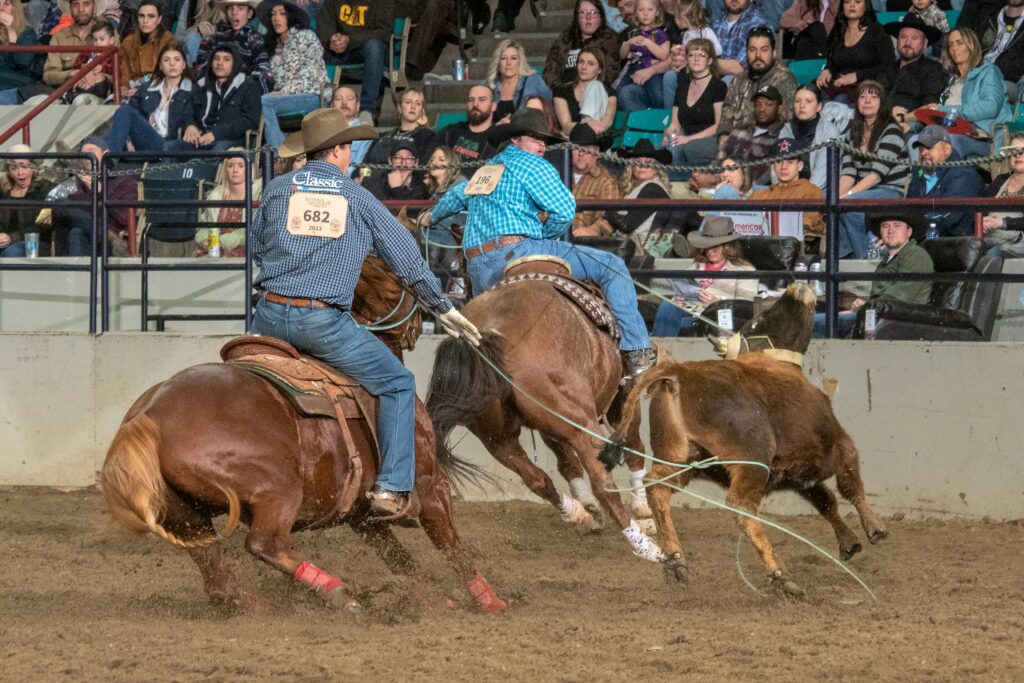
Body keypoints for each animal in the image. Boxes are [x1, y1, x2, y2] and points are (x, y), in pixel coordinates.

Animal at [99, 233, 507, 614]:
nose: (421, 324)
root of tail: (149, 416)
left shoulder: (362, 517)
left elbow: (400, 560)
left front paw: (430, 598)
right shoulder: (431, 485)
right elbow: (453, 547)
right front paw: (490, 602)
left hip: (186, 514)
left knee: (212, 566)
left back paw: (255, 605)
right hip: (276, 489)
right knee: (264, 544)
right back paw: (341, 593)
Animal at [421, 259, 663, 565]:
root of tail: (493, 336)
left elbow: (563, 462)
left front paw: (587, 507)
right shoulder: (621, 395)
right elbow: (632, 446)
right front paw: (643, 513)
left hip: (498, 438)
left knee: (538, 479)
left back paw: (578, 513)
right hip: (582, 422)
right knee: (603, 479)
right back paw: (650, 549)